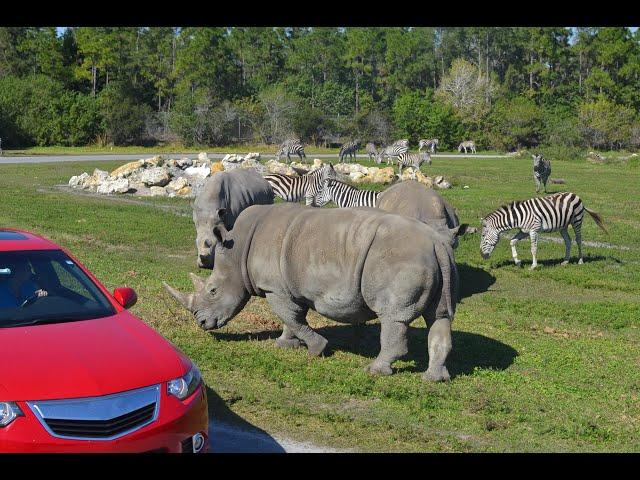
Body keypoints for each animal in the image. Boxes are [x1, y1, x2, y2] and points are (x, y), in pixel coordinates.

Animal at [480, 192, 608, 270]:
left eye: (483, 236)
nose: (482, 255)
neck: (520, 217)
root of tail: (575, 195)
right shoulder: (524, 231)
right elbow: (512, 241)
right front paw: (517, 261)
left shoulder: (534, 230)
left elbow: (533, 248)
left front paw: (533, 266)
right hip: (563, 226)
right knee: (568, 241)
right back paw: (565, 261)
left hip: (577, 220)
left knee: (578, 239)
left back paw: (580, 261)